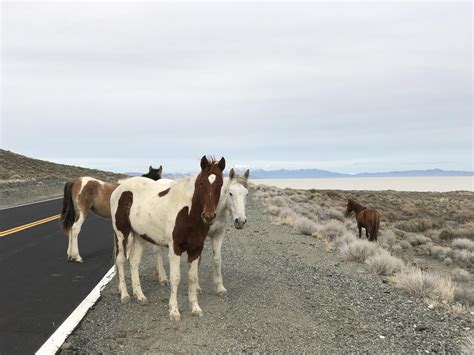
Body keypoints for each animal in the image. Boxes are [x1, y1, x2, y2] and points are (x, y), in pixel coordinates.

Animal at [110, 157, 225, 322]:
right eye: (201, 183)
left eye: (220, 184)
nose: (208, 216)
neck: (188, 214)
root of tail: (119, 187)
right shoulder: (175, 248)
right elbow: (175, 278)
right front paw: (174, 311)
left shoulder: (196, 249)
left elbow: (193, 277)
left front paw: (195, 308)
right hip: (122, 235)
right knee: (120, 260)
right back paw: (125, 295)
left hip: (139, 236)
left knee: (134, 262)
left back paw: (140, 295)